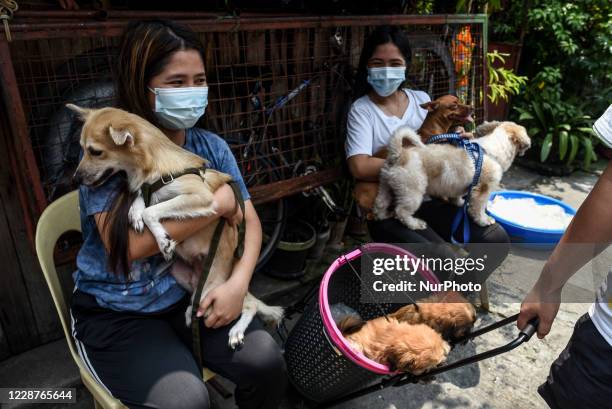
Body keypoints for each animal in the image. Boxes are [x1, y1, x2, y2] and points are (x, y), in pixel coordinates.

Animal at [69, 104, 284, 348]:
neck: (152, 167)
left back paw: (236, 331)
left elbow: (151, 209)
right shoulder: (148, 188)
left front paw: (162, 239)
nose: (75, 179)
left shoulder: (201, 196)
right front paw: (134, 213)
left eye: (95, 151)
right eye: (82, 149)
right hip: (185, 279)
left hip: (218, 290)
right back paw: (191, 311)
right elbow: (141, 197)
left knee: (250, 304)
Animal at [372, 121, 532, 230]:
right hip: (412, 193)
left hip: (385, 185)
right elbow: (479, 207)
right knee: (401, 211)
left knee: (380, 203)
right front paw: (484, 220)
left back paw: (382, 215)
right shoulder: (483, 190)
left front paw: (460, 203)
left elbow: (457, 196)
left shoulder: (461, 186)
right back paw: (416, 224)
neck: (491, 151)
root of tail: (399, 154)